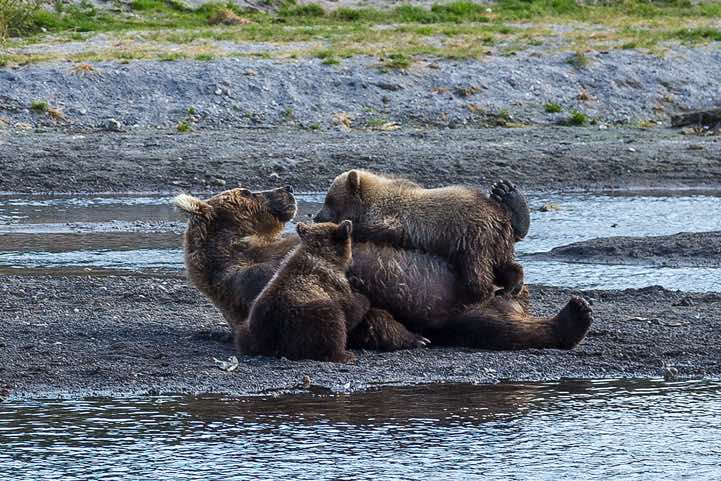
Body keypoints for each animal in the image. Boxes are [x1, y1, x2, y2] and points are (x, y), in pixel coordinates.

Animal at [237, 221, 368, 363]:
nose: (352, 261)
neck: (322, 255)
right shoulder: (333, 284)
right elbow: (350, 311)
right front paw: (362, 296)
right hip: (305, 319)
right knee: (332, 326)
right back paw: (344, 354)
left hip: (250, 325)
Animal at [313, 170, 525, 303]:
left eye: (329, 199)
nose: (317, 216)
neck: (366, 205)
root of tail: (499, 214)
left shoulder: (394, 218)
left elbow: (385, 230)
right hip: (496, 241)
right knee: (502, 263)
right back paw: (511, 284)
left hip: (471, 235)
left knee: (476, 267)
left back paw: (479, 292)